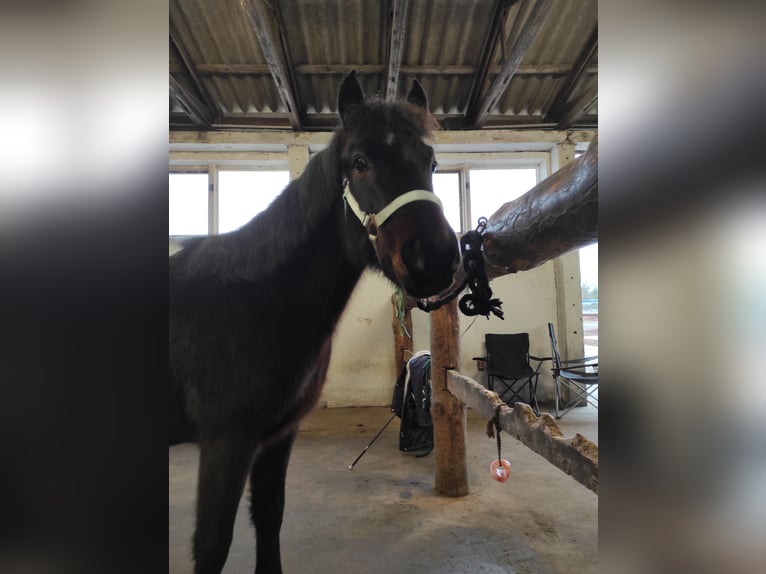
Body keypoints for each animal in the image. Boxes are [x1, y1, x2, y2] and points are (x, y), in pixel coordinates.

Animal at [171, 74, 460, 574]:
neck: (256, 302)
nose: (436, 258)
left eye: (431, 161)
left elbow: (270, 516)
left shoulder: (276, 437)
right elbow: (211, 544)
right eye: (359, 163)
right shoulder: (226, 442)